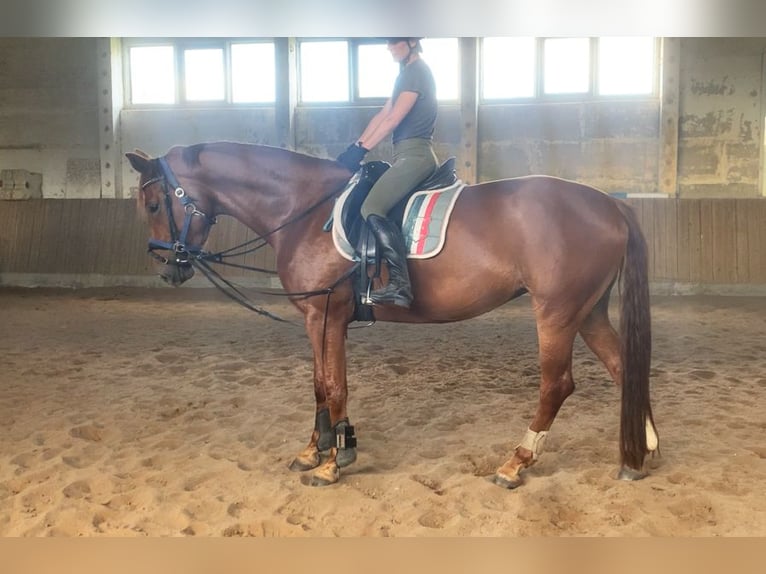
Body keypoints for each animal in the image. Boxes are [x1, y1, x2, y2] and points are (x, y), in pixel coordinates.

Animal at [126, 142, 660, 488]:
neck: (304, 212)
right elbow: (319, 384)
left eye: (153, 204)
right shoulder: (316, 320)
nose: (169, 269)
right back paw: (641, 455)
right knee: (624, 368)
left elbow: (334, 385)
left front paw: (334, 460)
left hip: (556, 311)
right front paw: (313, 450)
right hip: (588, 311)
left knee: (557, 384)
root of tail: (610, 204)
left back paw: (516, 463)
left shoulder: (325, 315)